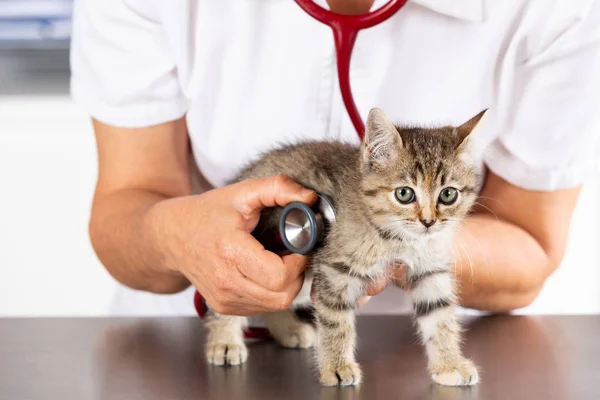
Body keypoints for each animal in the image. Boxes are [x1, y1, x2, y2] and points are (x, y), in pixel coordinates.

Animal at [204, 108, 486, 386]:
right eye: (404, 194)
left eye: (448, 194)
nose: (428, 221)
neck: (399, 239)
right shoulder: (334, 270)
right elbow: (335, 322)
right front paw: (337, 367)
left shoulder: (431, 271)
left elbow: (441, 316)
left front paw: (450, 364)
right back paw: (224, 341)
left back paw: (289, 329)